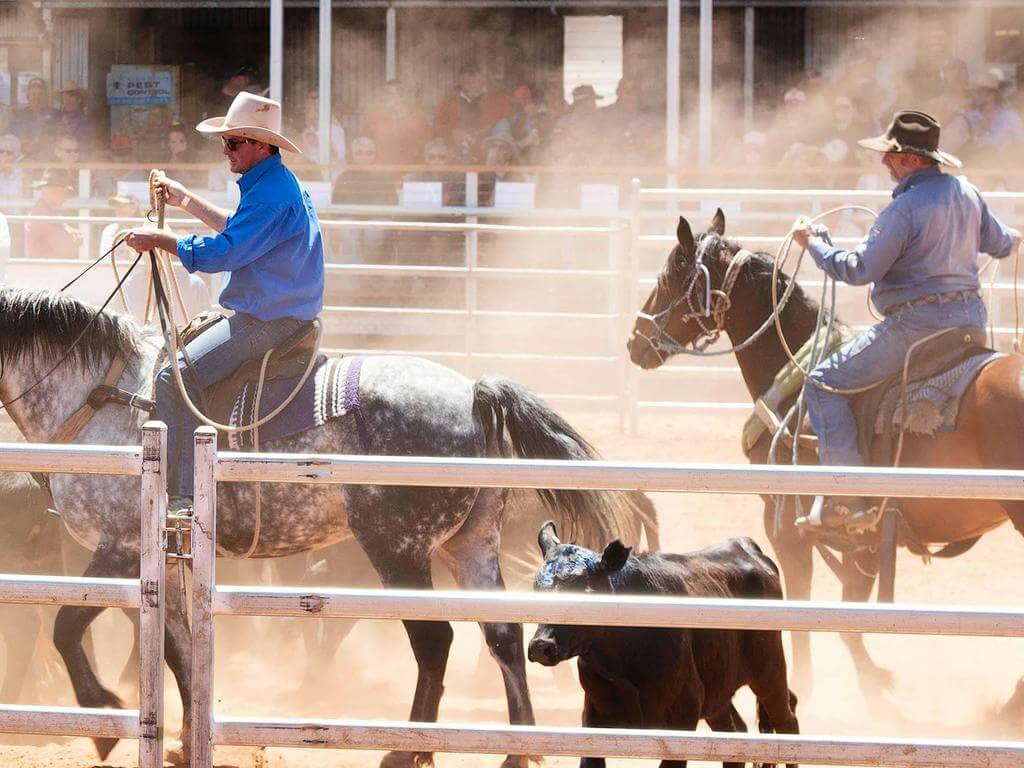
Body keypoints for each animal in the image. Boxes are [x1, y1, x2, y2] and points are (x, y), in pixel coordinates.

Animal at [0, 286, 638, 765]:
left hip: (398, 548)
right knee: (501, 634)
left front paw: (104, 715)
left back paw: (407, 751)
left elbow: (66, 625)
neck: (97, 396)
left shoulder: (122, 545)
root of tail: (473, 393)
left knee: (434, 641)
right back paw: (516, 749)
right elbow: (176, 648)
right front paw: (184, 742)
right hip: (470, 542)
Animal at [618, 211, 1024, 708]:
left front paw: (813, 685)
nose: (635, 342)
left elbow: (805, 605)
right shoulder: (865, 535)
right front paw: (873, 680)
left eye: (669, 277)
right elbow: (851, 608)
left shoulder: (784, 521)